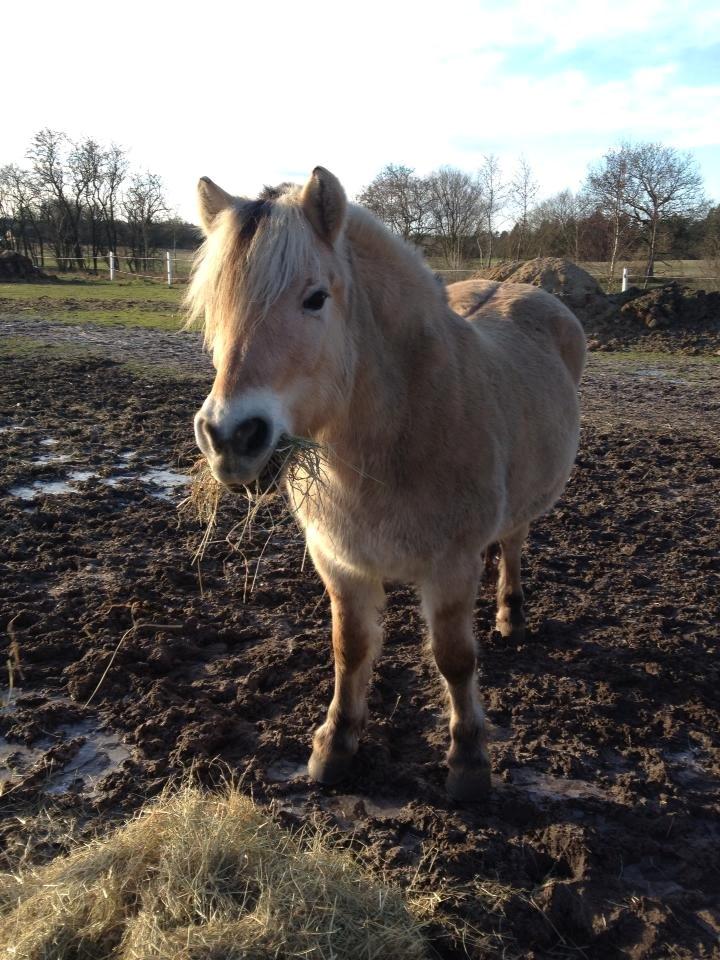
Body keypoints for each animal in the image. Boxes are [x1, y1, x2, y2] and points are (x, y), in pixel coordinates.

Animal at [186, 167, 584, 804]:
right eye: (212, 307)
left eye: (315, 297)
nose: (230, 437)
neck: (400, 431)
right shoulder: (339, 562)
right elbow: (349, 651)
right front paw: (335, 746)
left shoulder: (451, 566)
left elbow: (454, 659)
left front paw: (468, 763)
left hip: (522, 511)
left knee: (514, 544)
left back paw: (510, 616)